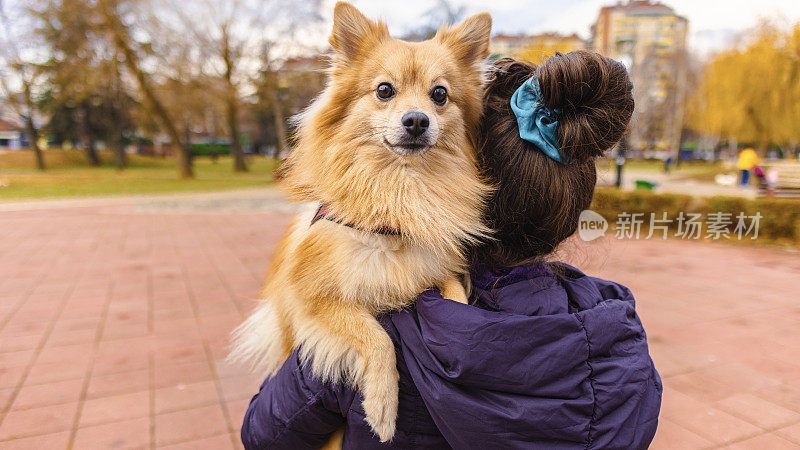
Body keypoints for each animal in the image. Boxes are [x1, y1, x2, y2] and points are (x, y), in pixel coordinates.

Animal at [231, 1, 490, 442]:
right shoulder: (312, 300)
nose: (417, 120)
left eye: (440, 95)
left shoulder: (435, 267)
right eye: (384, 90)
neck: (397, 193)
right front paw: (383, 406)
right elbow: (375, 335)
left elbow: (455, 293)